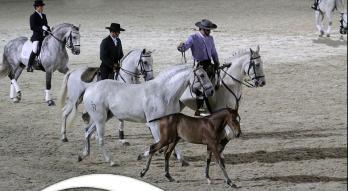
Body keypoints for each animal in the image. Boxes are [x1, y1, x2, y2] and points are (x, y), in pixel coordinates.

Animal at [79, 64, 215, 166]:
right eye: (202, 75)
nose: (211, 91)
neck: (164, 93)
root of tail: (89, 88)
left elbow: (168, 141)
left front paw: (181, 159)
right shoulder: (153, 123)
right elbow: (160, 140)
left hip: (105, 117)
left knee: (87, 132)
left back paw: (83, 155)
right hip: (100, 119)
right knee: (99, 138)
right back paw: (111, 161)